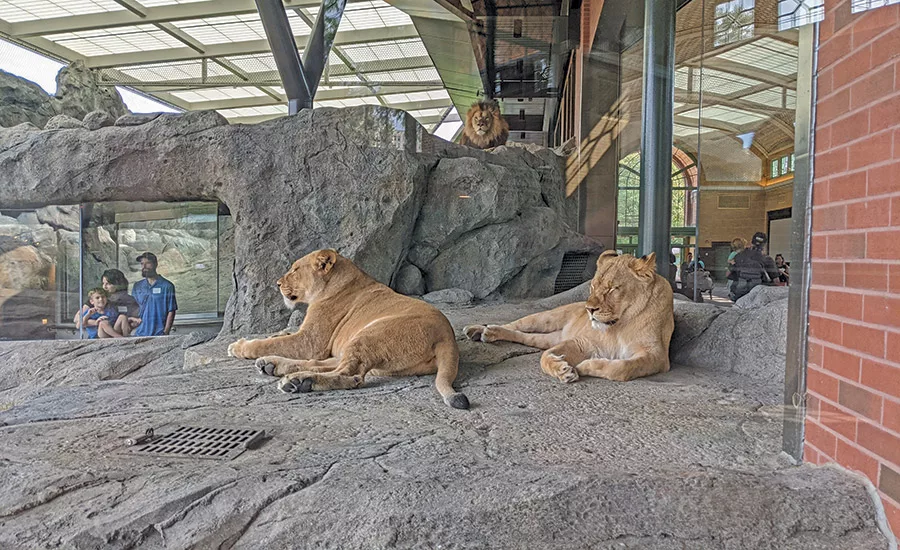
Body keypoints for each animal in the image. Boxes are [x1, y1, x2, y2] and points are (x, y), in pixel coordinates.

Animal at [227, 249, 469, 409]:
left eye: (295, 269)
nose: (277, 284)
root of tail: (447, 335)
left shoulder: (310, 341)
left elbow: (268, 343)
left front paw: (239, 347)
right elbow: (279, 338)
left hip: (370, 334)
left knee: (349, 375)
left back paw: (299, 382)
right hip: (360, 345)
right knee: (328, 365)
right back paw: (273, 366)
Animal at [463, 251, 674, 382]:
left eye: (612, 289)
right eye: (592, 286)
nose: (589, 309)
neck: (618, 326)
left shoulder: (657, 356)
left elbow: (623, 368)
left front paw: (585, 365)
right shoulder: (584, 342)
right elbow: (544, 357)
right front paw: (562, 370)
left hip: (546, 337)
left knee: (524, 337)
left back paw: (486, 333)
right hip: (545, 318)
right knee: (515, 325)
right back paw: (480, 330)